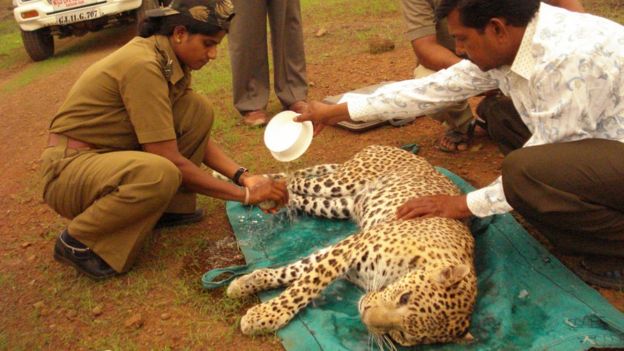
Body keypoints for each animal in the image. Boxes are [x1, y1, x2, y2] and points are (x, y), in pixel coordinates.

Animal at [227, 145, 476, 346]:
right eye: (404, 298)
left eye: (402, 335)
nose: (364, 313)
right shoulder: (352, 246)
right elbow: (306, 285)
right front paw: (265, 315)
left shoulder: (347, 254)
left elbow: (300, 270)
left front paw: (247, 284)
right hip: (339, 181)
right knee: (294, 178)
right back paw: (264, 190)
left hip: (337, 205)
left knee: (299, 197)